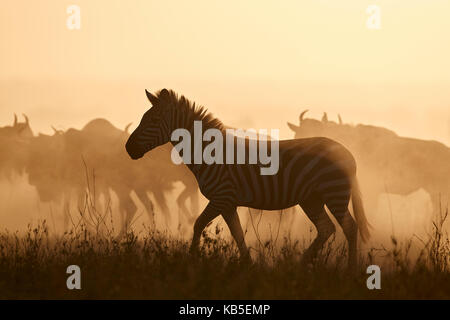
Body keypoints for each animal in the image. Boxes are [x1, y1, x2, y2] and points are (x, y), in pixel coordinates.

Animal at [125, 89, 370, 266]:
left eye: (153, 120)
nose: (128, 148)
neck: (208, 152)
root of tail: (346, 151)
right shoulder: (228, 203)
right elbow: (237, 234)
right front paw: (247, 265)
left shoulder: (221, 197)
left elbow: (198, 224)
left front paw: (191, 260)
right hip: (312, 199)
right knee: (327, 228)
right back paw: (300, 265)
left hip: (333, 192)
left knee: (350, 228)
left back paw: (350, 270)